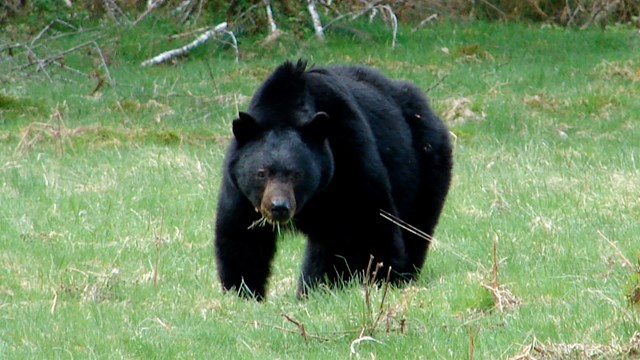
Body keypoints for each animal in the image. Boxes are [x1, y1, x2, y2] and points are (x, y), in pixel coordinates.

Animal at [214, 59, 450, 300]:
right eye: (261, 173)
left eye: (296, 174)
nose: (278, 207)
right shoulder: (240, 190)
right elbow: (241, 238)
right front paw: (242, 291)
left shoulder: (349, 154)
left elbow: (371, 221)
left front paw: (383, 279)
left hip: (426, 165)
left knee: (413, 227)